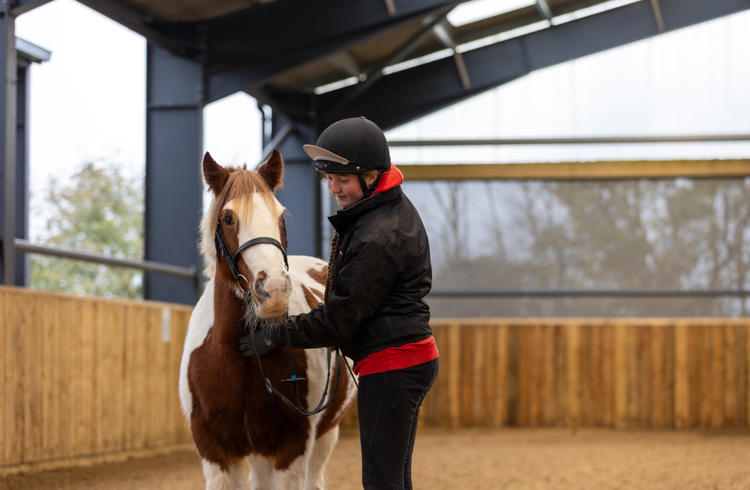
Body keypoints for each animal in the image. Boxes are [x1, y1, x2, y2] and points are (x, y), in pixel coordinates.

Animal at [178, 151, 356, 488]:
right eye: (228, 218)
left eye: (281, 217)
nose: (273, 289)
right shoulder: (215, 452)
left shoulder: (293, 447)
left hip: (325, 435)